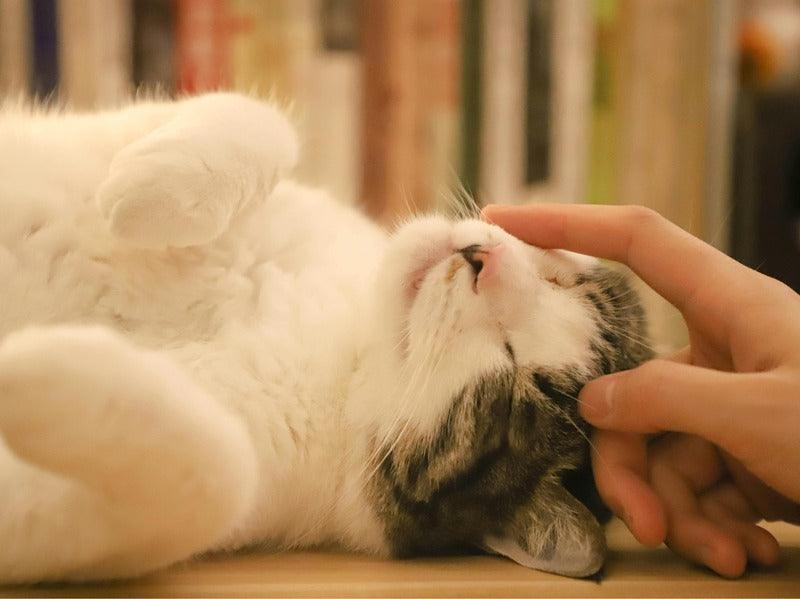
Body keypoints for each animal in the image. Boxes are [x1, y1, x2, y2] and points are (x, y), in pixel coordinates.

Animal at [0, 94, 648, 584]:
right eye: (561, 280)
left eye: (515, 378)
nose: (480, 260)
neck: (342, 330)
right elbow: (257, 117)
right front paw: (149, 191)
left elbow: (217, 474)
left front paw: (40, 364)